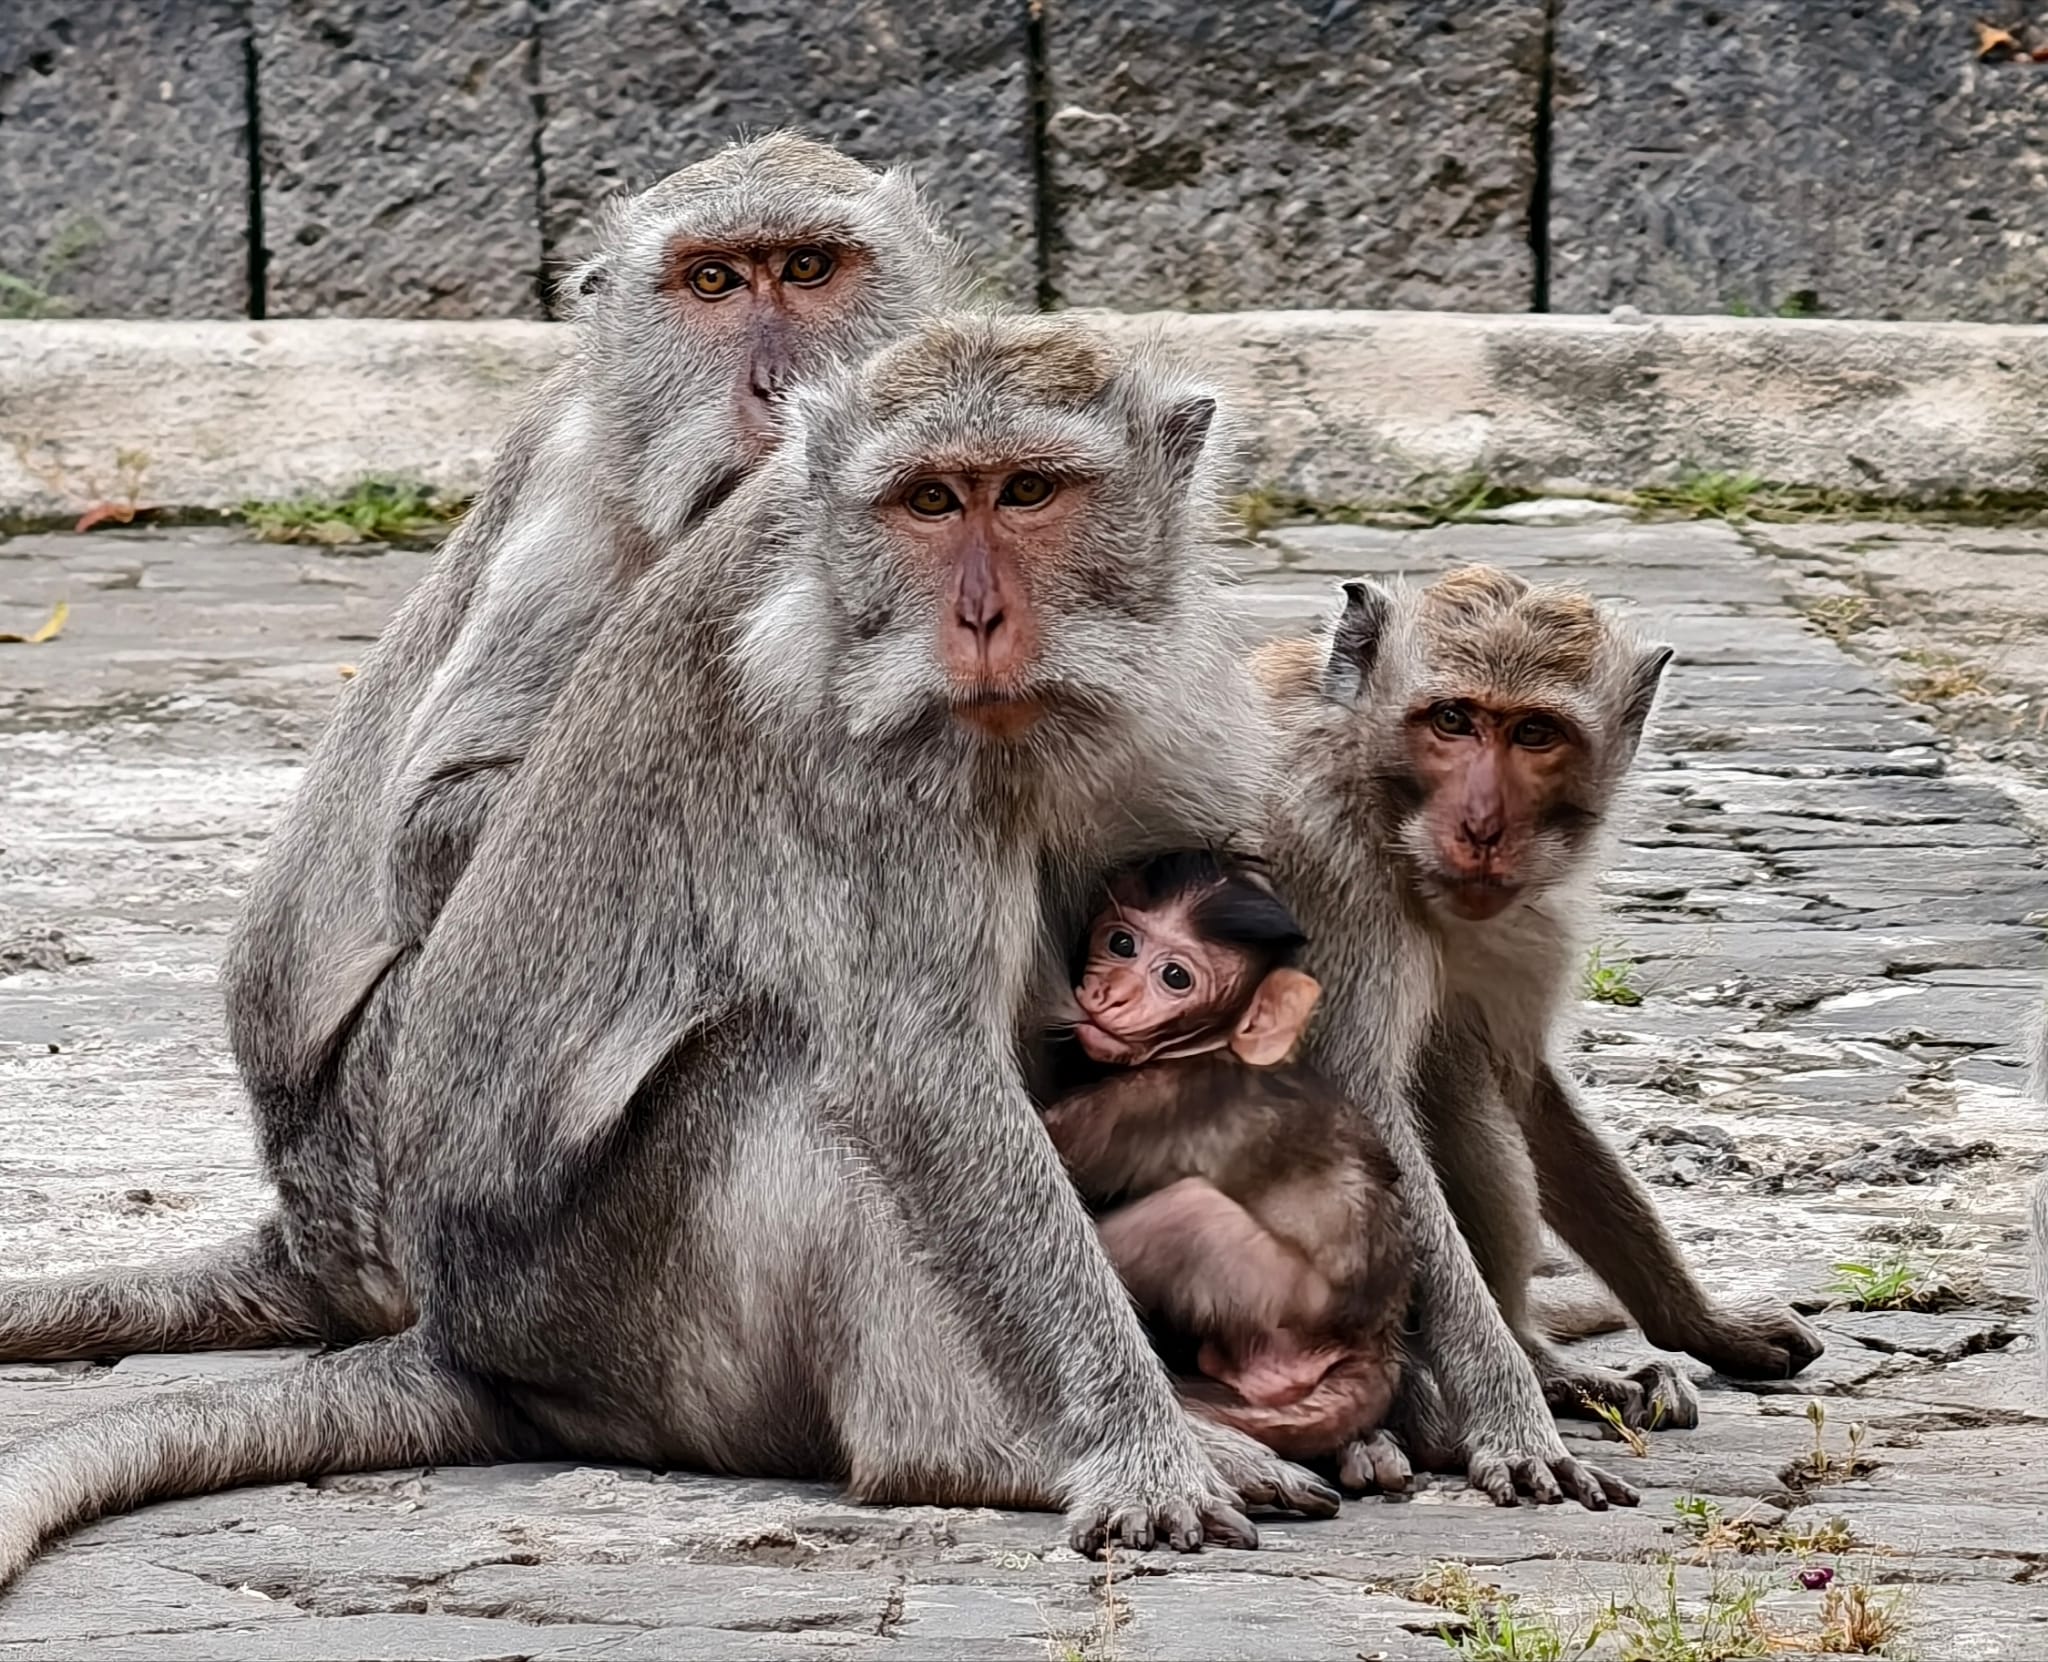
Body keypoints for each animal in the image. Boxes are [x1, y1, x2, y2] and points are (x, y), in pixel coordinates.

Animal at [0, 132, 970, 1364]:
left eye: (808, 267)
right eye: (711, 282)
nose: (778, 392)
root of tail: (304, 1237)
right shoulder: (573, 498)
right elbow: (438, 831)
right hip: (383, 1163)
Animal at [0, 314, 1346, 1587]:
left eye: (1025, 492)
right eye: (926, 501)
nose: (976, 616)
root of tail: (462, 1340)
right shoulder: (852, 765)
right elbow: (919, 1082)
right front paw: (1138, 1446)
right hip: (624, 1328)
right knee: (787, 1072)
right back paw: (965, 1452)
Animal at [1037, 851, 1415, 1496]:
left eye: (1175, 978)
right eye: (1121, 943)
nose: (1113, 994)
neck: (1207, 1047)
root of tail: (1379, 1340)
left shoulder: (1152, 1101)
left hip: (1278, 1298)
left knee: (1185, 1215)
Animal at [1250, 564, 1825, 1509]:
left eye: (1534, 734)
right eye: (1452, 721)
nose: (1483, 827)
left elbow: (1525, 1087)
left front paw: (1706, 1323)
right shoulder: (1324, 871)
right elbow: (1360, 1118)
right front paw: (1508, 1421)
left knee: (1457, 1082)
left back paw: (1549, 1364)